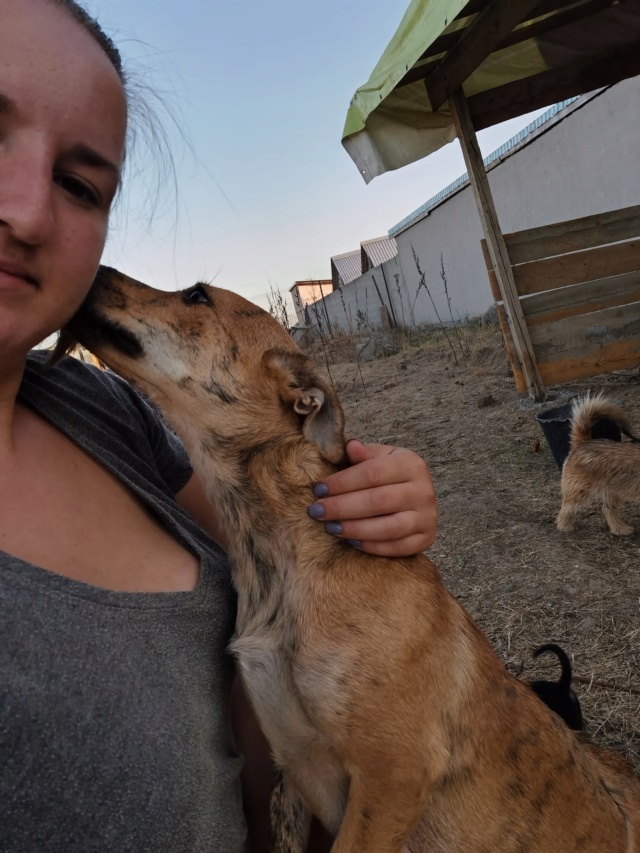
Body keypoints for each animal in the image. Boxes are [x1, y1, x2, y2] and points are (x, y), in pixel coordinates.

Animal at [556, 392, 640, 532]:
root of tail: (584, 442)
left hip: (612, 491)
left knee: (607, 509)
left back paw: (619, 528)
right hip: (579, 490)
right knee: (566, 507)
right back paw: (564, 526)